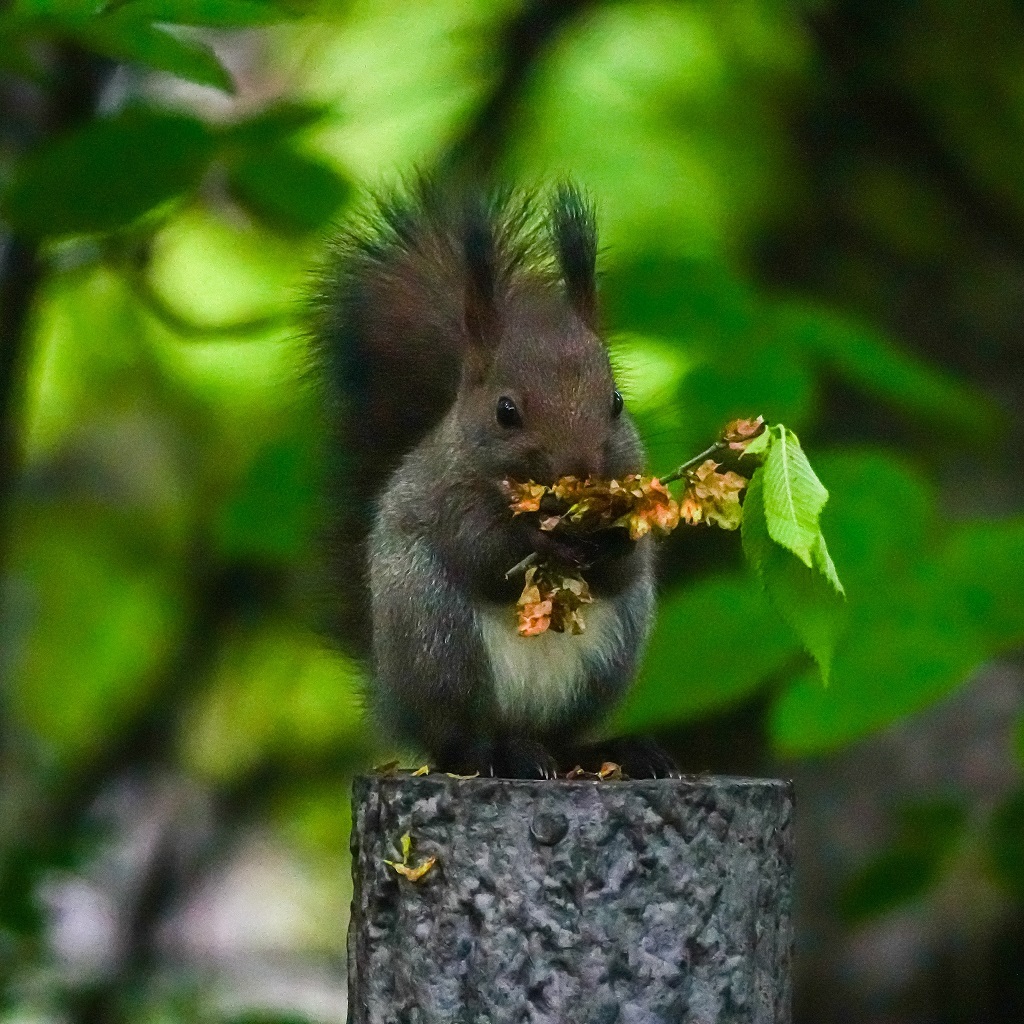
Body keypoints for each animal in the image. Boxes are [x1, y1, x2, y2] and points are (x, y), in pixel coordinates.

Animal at [315, 180, 675, 778]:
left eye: (617, 402)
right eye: (506, 412)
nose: (580, 472)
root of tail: (394, 699)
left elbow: (627, 563)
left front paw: (609, 536)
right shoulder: (447, 499)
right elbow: (481, 551)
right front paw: (542, 544)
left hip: (609, 659)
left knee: (563, 737)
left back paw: (611, 751)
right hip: (439, 641)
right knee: (461, 743)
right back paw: (505, 754)